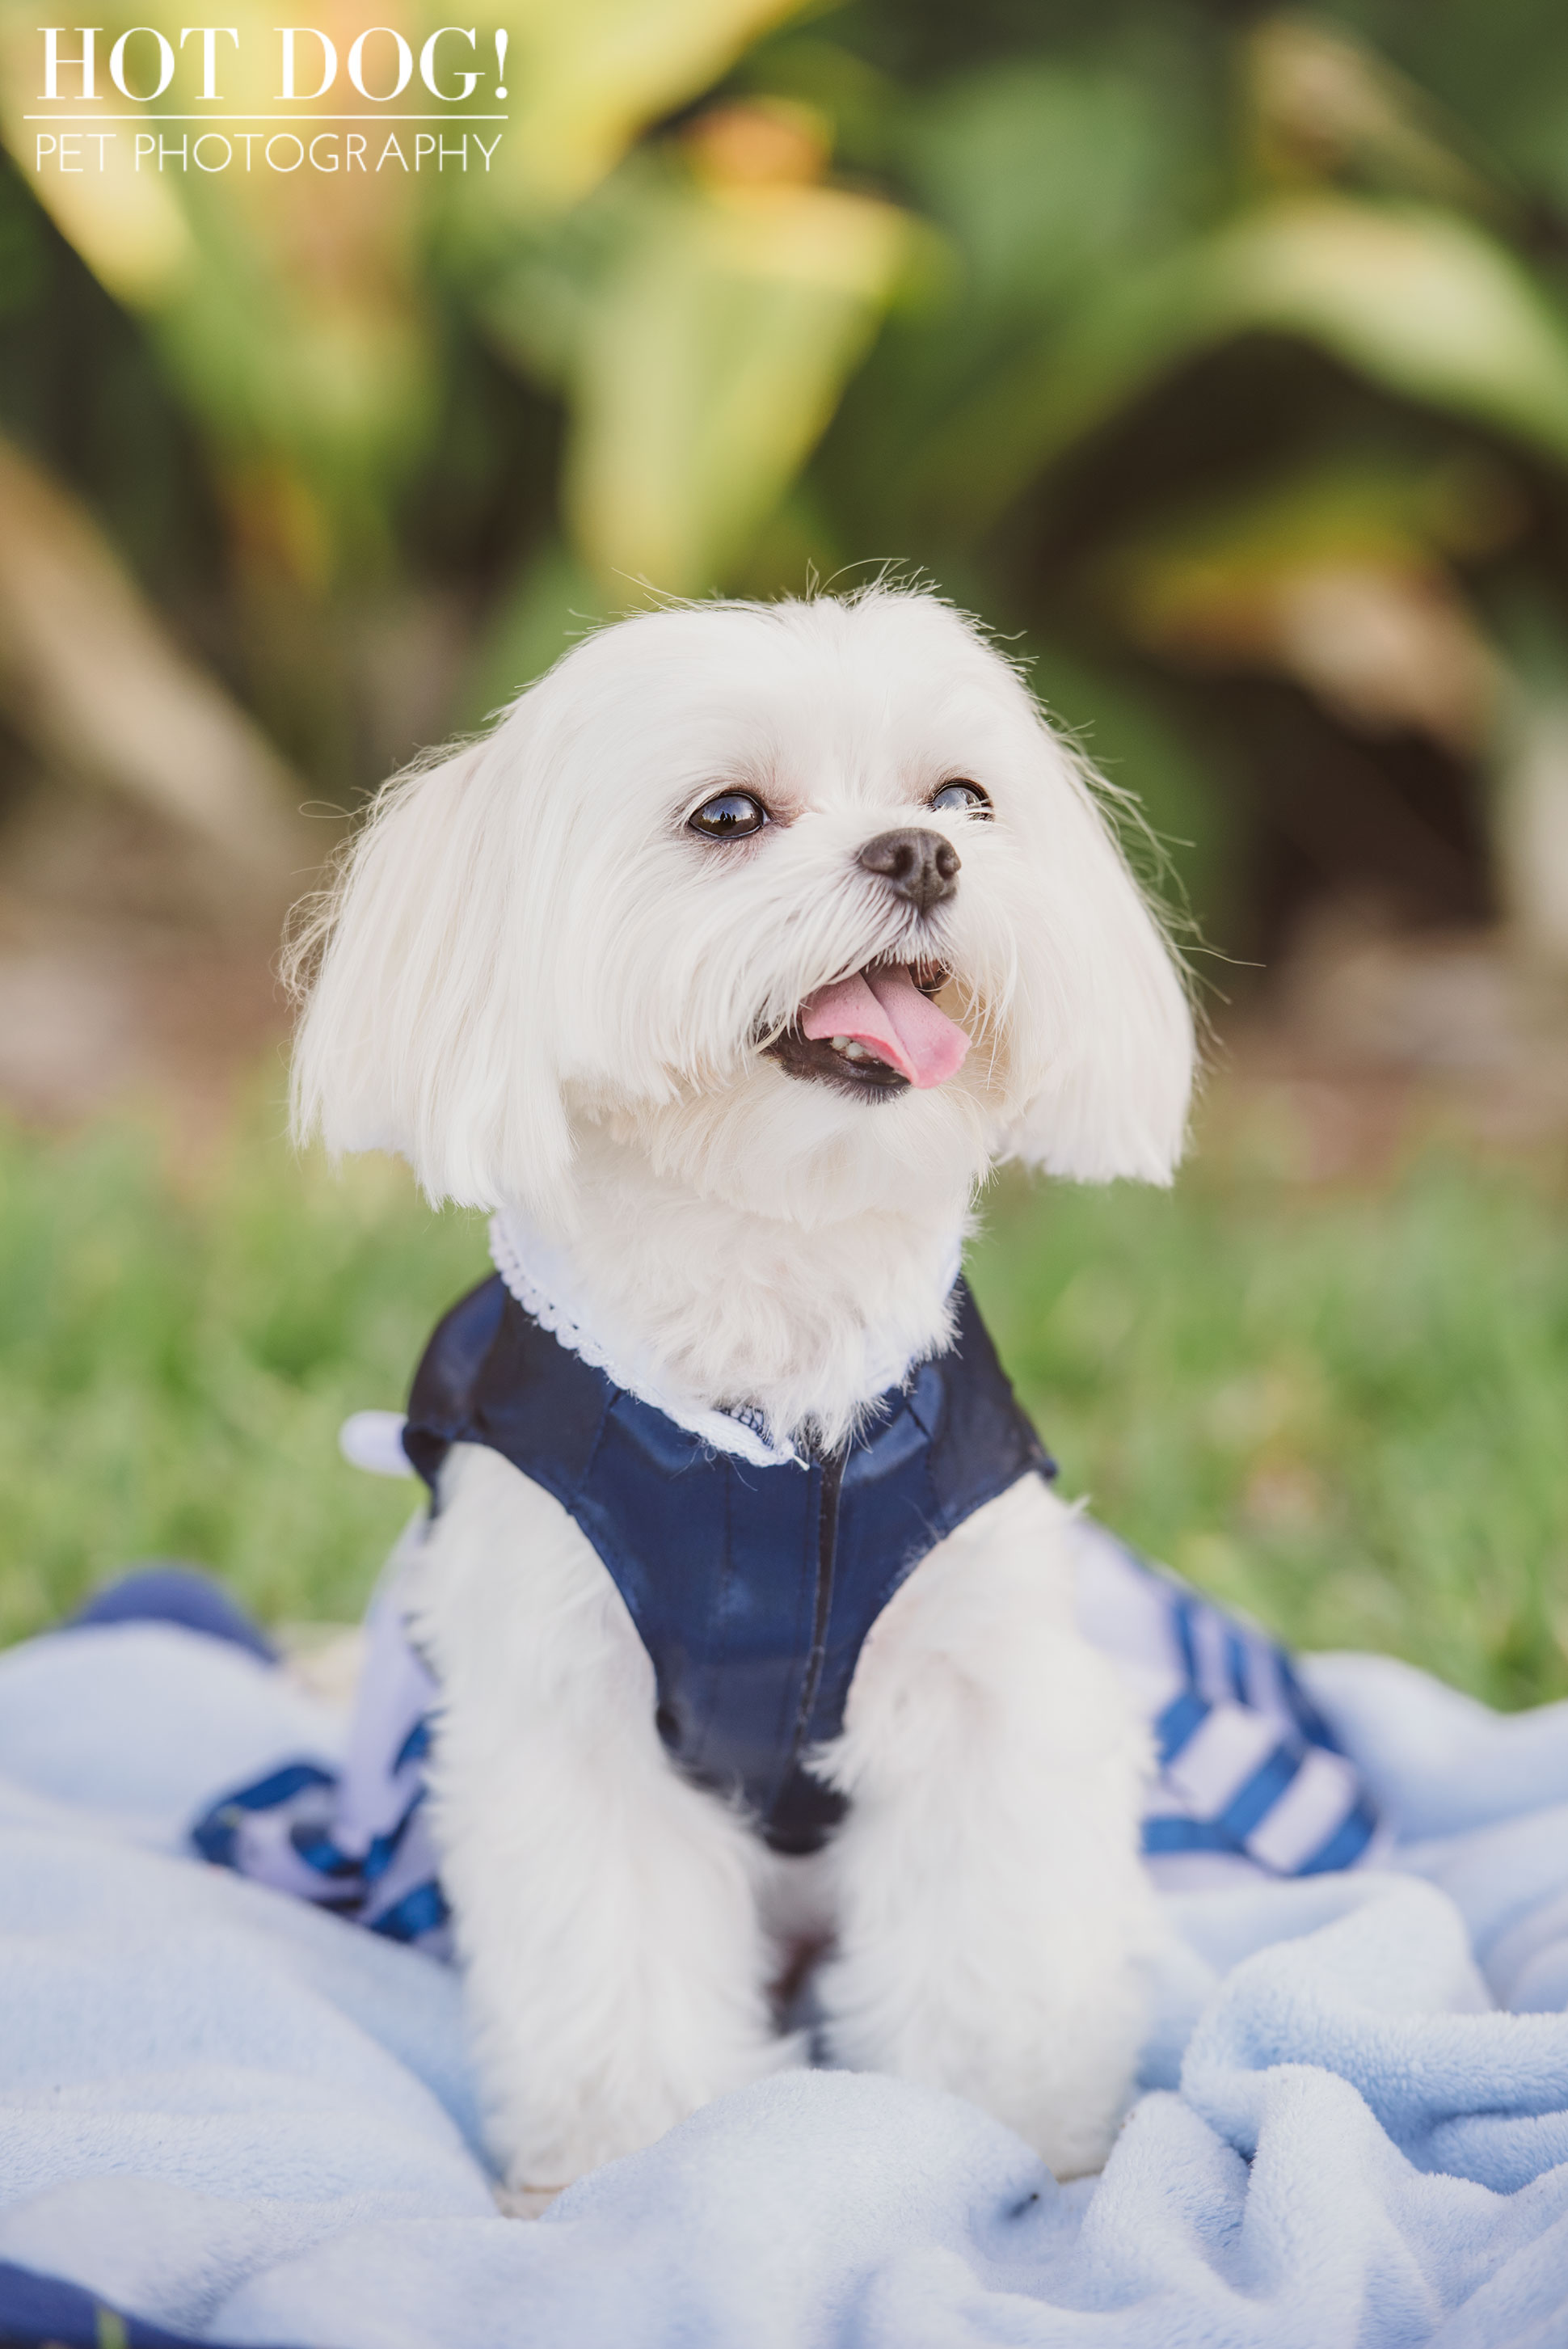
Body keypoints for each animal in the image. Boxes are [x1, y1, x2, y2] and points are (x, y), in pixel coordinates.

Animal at [281, 587, 1192, 2199]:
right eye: (727, 815)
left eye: (964, 797)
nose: (924, 852)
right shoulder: (575, 1716)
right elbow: (616, 1961)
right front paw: (628, 2168)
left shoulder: (985, 1686)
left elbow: (999, 1948)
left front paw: (1023, 2149)